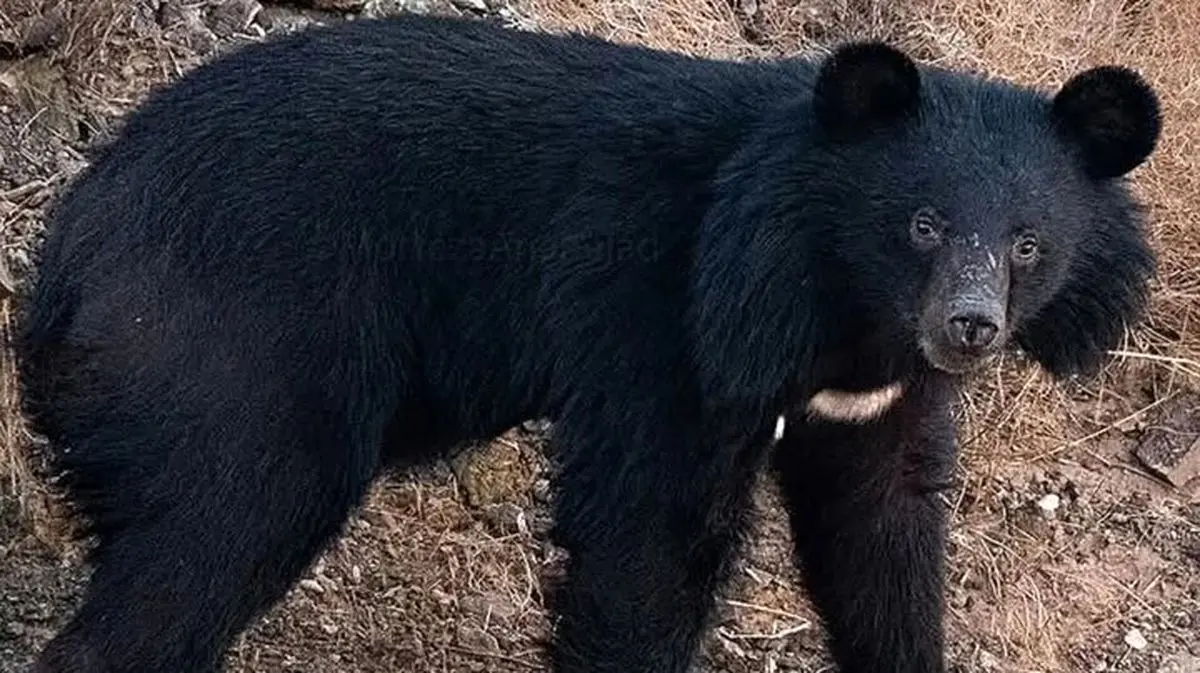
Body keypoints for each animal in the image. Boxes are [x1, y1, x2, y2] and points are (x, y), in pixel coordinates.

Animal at [16, 10, 1161, 671]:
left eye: (1027, 244)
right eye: (921, 224)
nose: (966, 328)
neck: (839, 313)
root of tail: (70, 244)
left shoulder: (872, 402)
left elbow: (882, 538)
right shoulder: (661, 324)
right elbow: (646, 537)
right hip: (234, 344)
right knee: (219, 525)